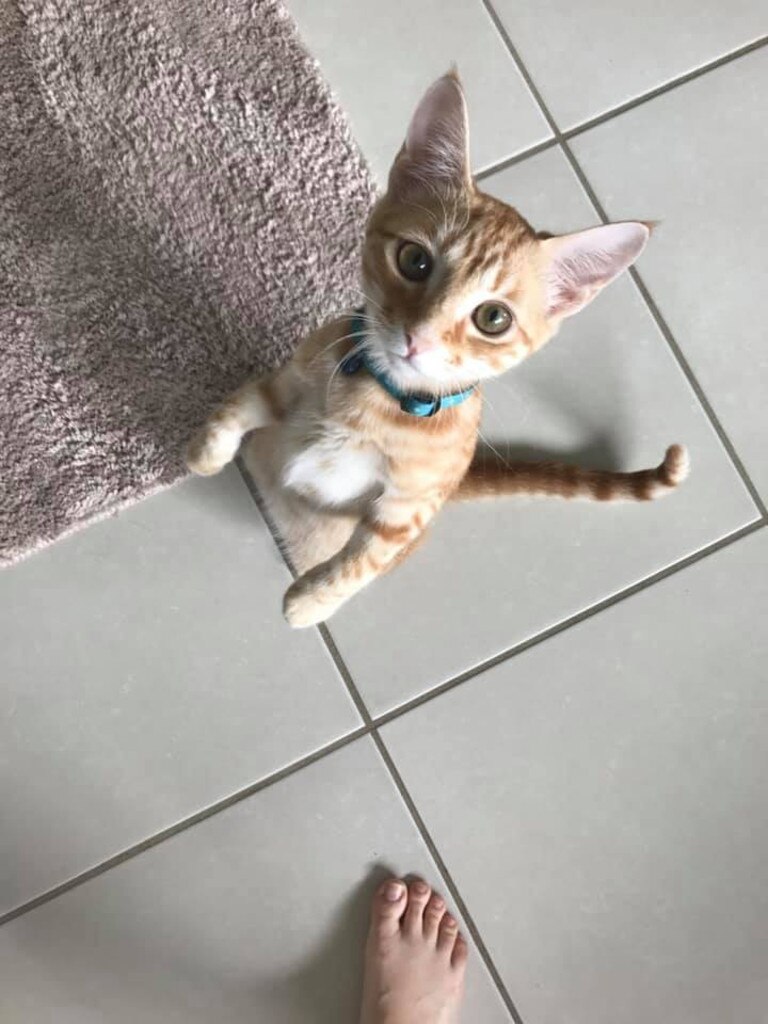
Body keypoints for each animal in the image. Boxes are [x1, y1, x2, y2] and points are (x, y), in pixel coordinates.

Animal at [188, 70, 692, 622]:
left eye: (493, 318)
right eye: (415, 260)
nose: (419, 337)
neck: (377, 399)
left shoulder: (408, 507)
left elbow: (365, 558)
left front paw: (311, 602)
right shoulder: (289, 379)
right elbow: (240, 405)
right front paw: (206, 452)